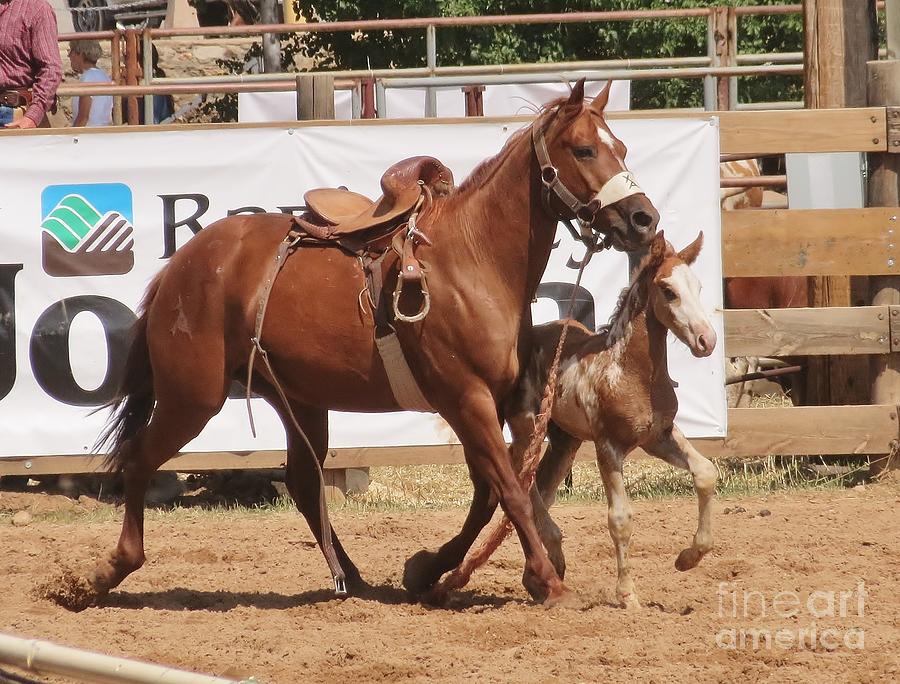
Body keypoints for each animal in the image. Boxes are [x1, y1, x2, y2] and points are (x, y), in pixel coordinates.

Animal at [59, 79, 656, 608]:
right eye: (584, 148)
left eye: (624, 148)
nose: (643, 217)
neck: (474, 259)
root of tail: (182, 266)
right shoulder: (466, 398)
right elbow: (509, 488)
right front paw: (546, 582)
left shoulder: (492, 402)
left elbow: (491, 492)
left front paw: (428, 571)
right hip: (192, 398)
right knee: (140, 459)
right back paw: (107, 571)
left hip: (297, 399)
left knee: (303, 483)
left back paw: (351, 577)